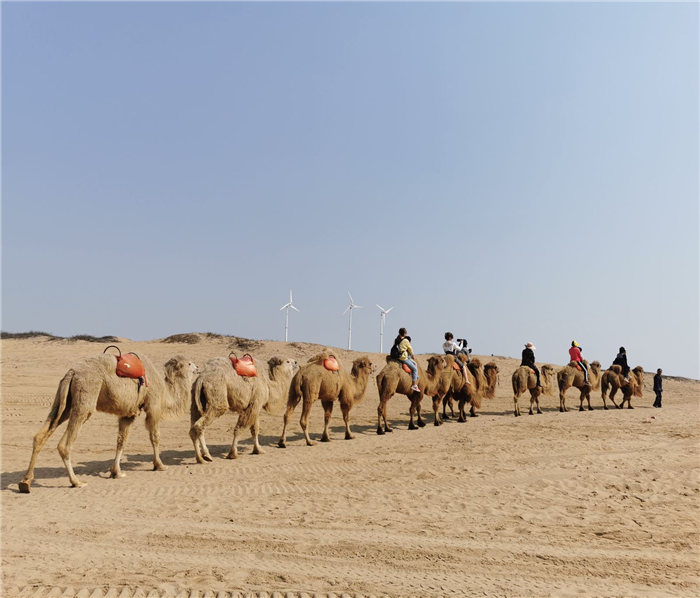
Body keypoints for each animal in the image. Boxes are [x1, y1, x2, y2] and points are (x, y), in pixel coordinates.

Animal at [19, 352, 198, 492]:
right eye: (189, 363)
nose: (197, 368)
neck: (165, 391)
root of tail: (72, 372)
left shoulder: (128, 413)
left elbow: (121, 440)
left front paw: (116, 472)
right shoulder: (153, 406)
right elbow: (155, 436)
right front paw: (159, 465)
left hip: (64, 401)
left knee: (40, 435)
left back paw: (25, 482)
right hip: (86, 396)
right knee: (65, 444)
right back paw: (76, 482)